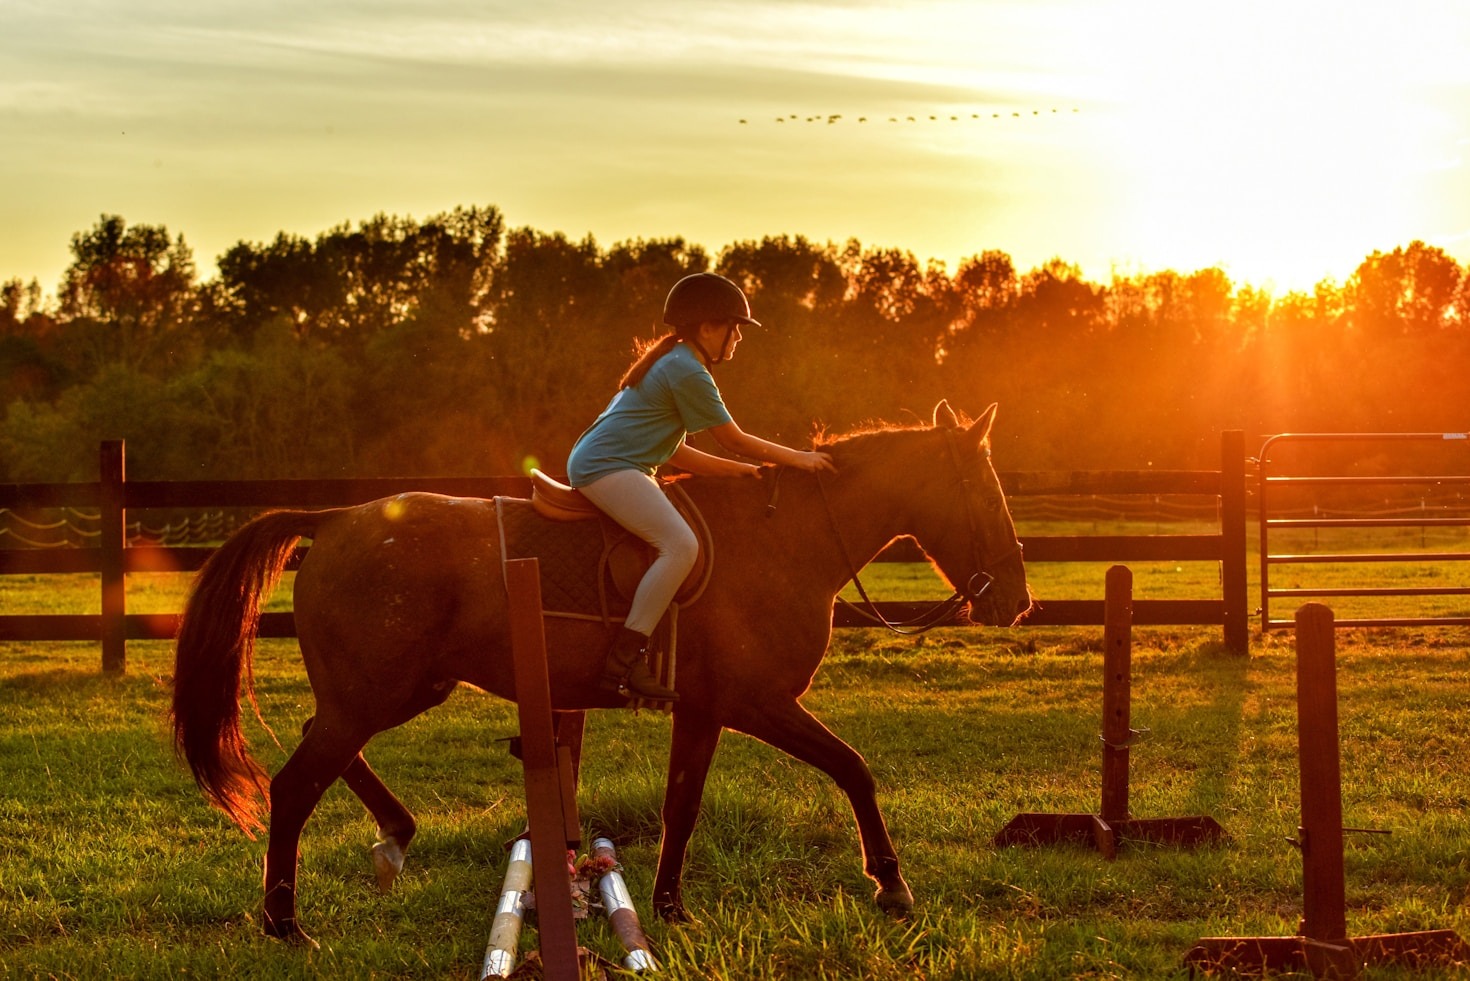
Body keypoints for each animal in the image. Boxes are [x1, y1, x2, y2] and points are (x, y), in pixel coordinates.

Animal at [170, 399, 1031, 946]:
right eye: (987, 494)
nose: (1018, 601)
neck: (786, 541)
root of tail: (336, 519)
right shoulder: (757, 700)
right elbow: (853, 768)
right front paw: (891, 884)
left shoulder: (705, 707)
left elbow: (683, 803)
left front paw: (670, 907)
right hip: (375, 692)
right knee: (295, 784)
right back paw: (286, 923)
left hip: (394, 689)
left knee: (324, 746)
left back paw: (394, 838)